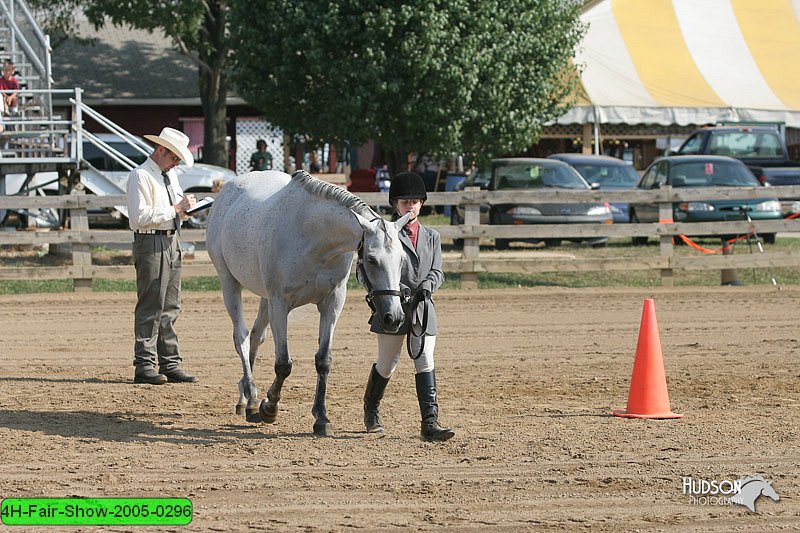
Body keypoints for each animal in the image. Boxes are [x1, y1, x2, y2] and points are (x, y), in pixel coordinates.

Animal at [205, 168, 412, 434]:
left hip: (264, 298)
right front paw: (269, 407)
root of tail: (229, 188)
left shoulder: (332, 303)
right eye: (372, 259)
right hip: (229, 282)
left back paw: (246, 401)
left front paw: (321, 418)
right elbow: (283, 363)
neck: (313, 236)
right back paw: (251, 397)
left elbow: (323, 360)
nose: (393, 318)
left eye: (402, 259)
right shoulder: (280, 304)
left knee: (256, 336)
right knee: (240, 336)